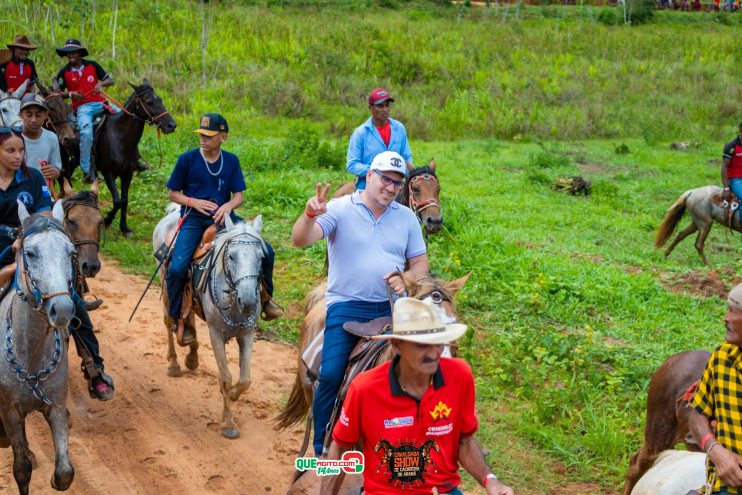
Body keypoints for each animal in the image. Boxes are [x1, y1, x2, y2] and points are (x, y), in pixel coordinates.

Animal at [0, 200, 76, 494]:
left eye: (71, 252)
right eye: (30, 253)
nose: (62, 309)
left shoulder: (55, 405)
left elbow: (65, 472)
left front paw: (56, 479)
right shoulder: (10, 412)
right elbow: (21, 469)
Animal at [154, 207, 268, 440]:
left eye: (261, 257)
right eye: (231, 256)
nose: (248, 301)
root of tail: (172, 213)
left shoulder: (247, 334)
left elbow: (245, 379)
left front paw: (233, 395)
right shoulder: (216, 333)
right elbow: (225, 377)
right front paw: (228, 423)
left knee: (187, 318)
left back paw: (192, 354)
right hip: (166, 284)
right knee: (169, 321)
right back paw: (174, 364)